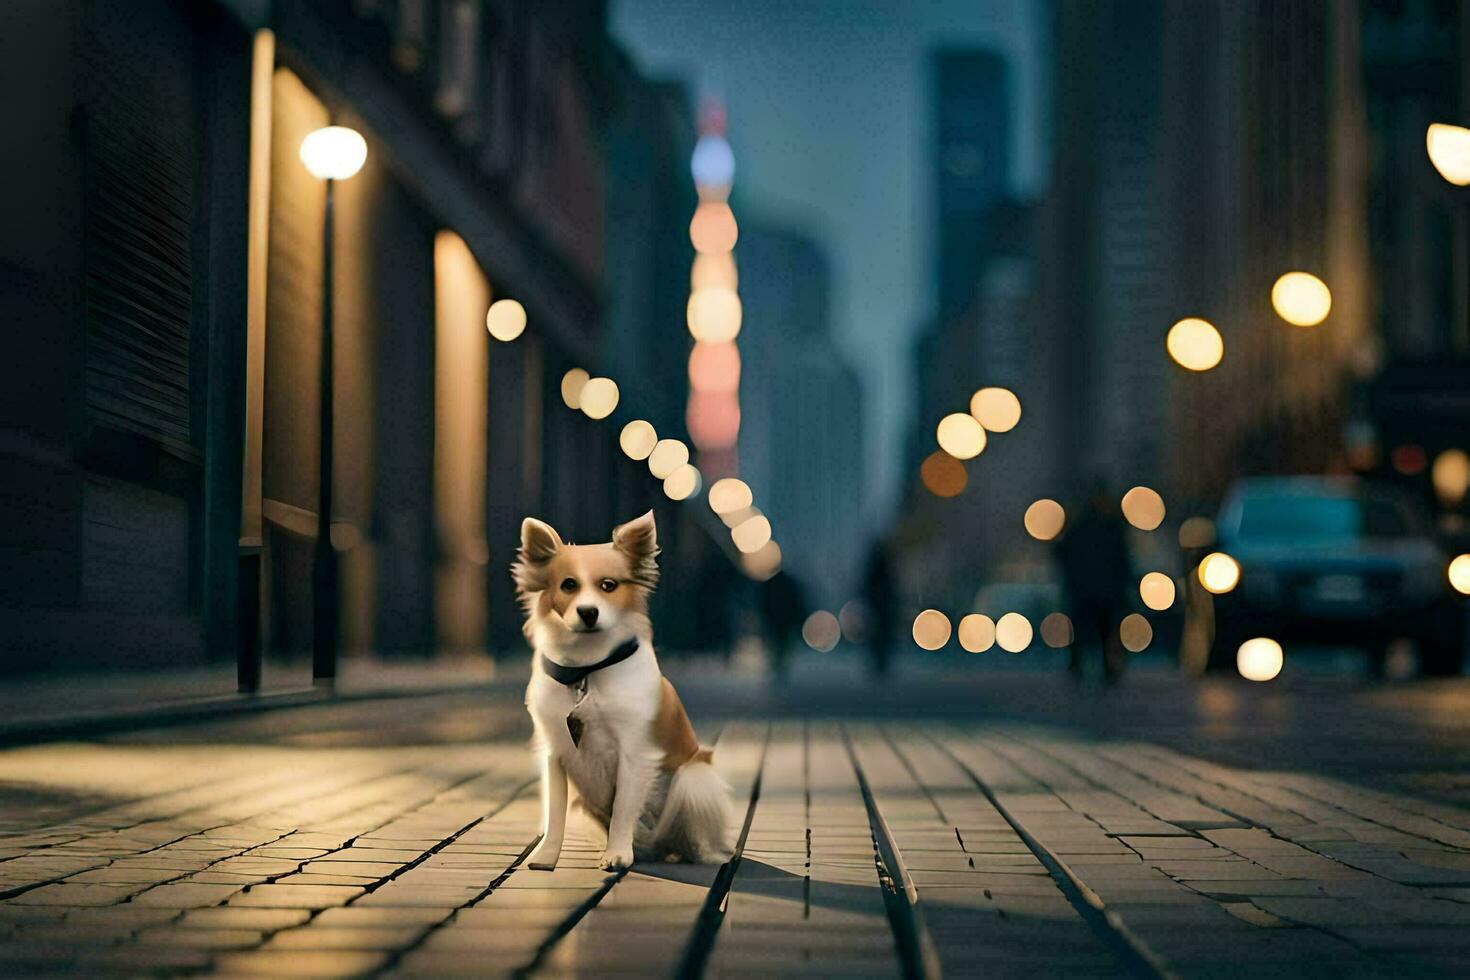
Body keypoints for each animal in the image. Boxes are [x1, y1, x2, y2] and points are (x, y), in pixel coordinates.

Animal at [514, 511, 732, 869]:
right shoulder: (554, 754)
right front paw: (546, 855)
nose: (589, 612)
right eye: (568, 585)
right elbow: (555, 813)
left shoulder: (633, 754)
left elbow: (622, 810)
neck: (586, 670)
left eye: (609, 586)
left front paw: (617, 853)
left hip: (693, 778)